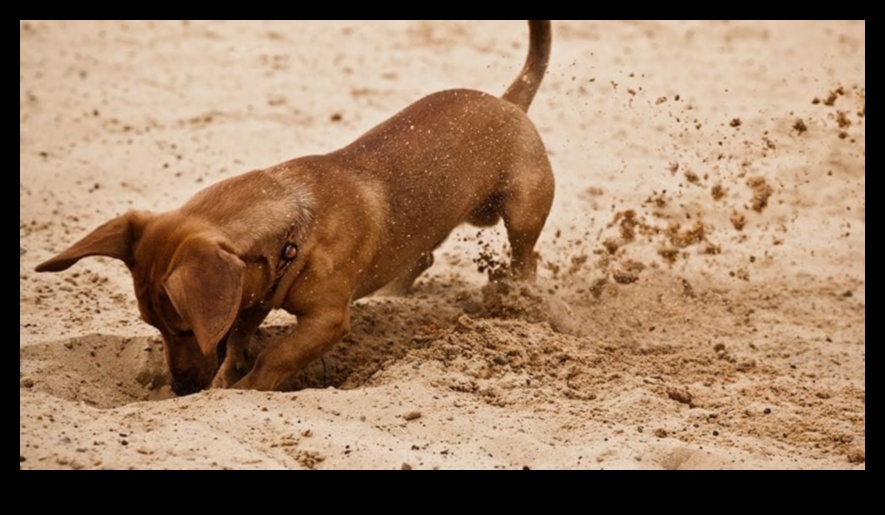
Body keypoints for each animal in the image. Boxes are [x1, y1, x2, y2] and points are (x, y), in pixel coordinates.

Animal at [39, 20, 560, 396]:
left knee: (526, 259)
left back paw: (518, 298)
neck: (295, 222)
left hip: (523, 214)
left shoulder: (325, 321)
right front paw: (228, 376)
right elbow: (238, 339)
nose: (183, 389)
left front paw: (242, 390)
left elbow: (276, 357)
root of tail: (508, 101)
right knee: (422, 256)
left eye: (184, 328)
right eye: (155, 327)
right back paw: (394, 295)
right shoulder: (250, 294)